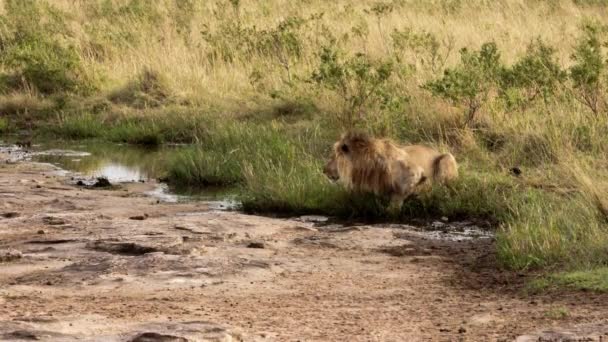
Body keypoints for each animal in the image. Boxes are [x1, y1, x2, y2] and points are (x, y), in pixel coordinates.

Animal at [324, 132, 456, 210]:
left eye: (333, 156)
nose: (324, 170)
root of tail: (434, 150)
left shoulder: (415, 172)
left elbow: (395, 202)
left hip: (447, 157)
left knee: (444, 188)